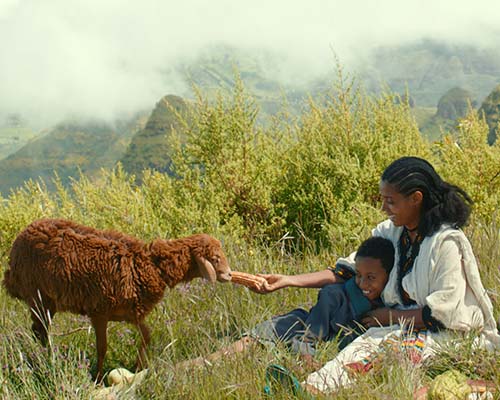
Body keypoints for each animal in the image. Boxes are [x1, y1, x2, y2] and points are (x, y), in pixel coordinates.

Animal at [2, 217, 232, 380]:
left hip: (46, 302)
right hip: (38, 297)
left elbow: (146, 336)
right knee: (40, 332)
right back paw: (47, 360)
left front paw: (138, 367)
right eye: (215, 258)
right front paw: (97, 378)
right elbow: (102, 348)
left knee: (39, 331)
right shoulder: (99, 313)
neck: (149, 265)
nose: (230, 275)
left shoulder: (131, 314)